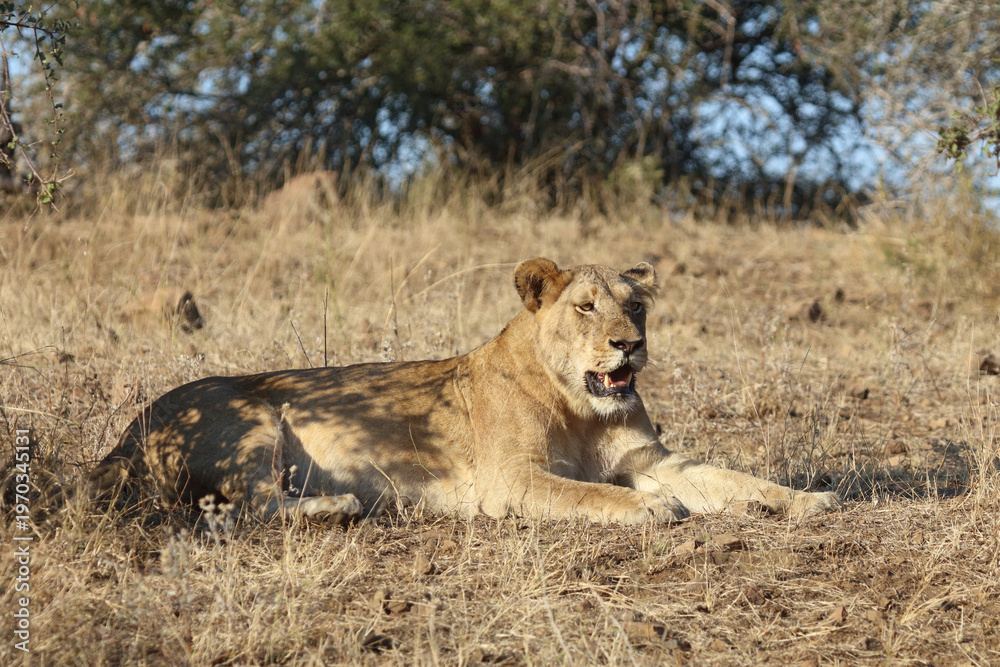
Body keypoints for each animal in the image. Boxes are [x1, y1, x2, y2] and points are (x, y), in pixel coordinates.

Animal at [92, 258, 840, 524]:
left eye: (637, 306)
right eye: (587, 307)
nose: (629, 345)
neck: (581, 409)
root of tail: (130, 426)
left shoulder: (654, 462)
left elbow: (730, 477)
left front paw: (807, 499)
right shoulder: (511, 479)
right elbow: (591, 494)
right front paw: (652, 511)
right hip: (251, 417)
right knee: (247, 504)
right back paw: (340, 505)